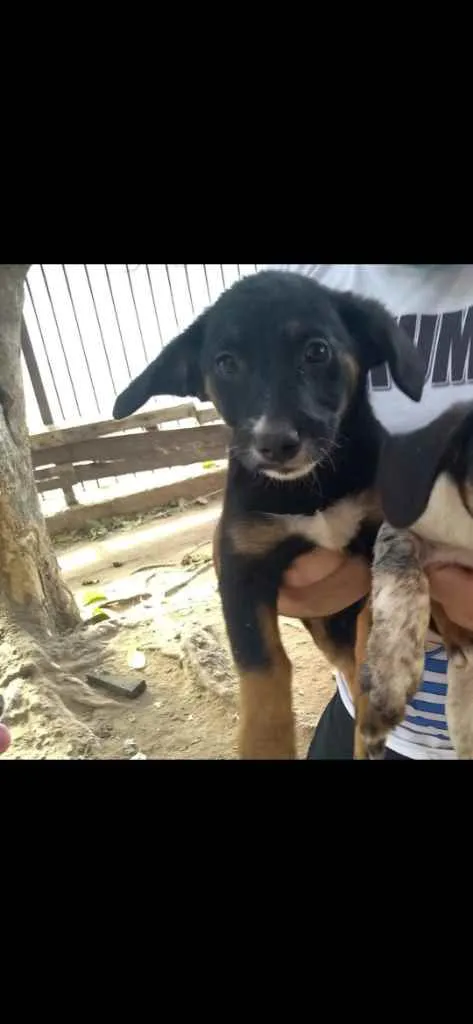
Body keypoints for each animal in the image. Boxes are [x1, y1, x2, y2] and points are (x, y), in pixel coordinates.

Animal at [112, 272, 423, 761]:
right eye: (225, 363)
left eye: (317, 351)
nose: (275, 443)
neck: (311, 489)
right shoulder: (241, 565)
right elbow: (262, 665)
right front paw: (266, 744)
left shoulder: (383, 540)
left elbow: (370, 631)